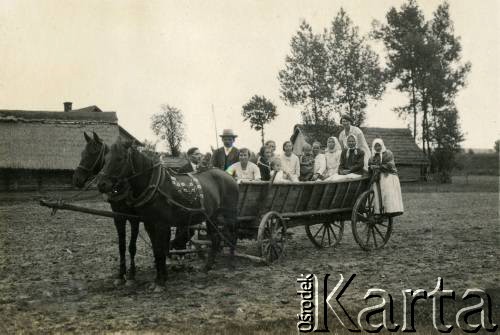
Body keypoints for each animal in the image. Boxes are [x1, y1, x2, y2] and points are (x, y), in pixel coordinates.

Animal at [96, 140, 239, 290]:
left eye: (120, 159)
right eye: (105, 159)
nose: (101, 184)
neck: (155, 186)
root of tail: (229, 176)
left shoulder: (161, 224)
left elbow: (161, 249)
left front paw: (160, 281)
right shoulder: (149, 224)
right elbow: (157, 250)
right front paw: (160, 278)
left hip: (229, 214)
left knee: (232, 236)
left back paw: (231, 265)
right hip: (211, 217)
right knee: (216, 239)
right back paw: (207, 268)